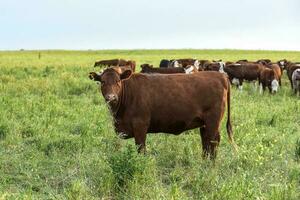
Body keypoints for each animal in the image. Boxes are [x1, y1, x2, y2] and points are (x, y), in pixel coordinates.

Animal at [88, 66, 237, 159]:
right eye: (102, 82)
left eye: (118, 81)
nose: (111, 97)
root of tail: (221, 75)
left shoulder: (140, 125)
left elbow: (141, 149)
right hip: (204, 124)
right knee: (206, 142)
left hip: (213, 121)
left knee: (213, 142)